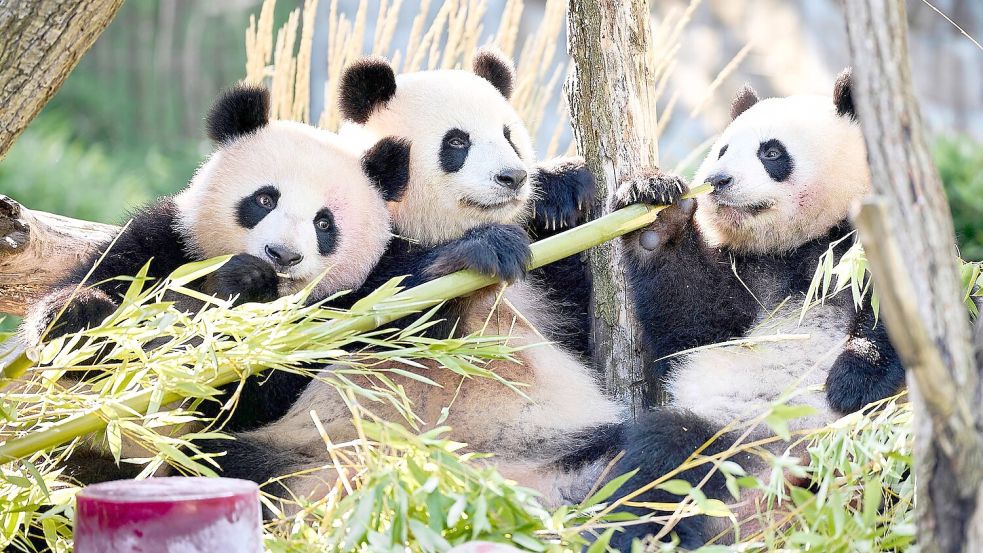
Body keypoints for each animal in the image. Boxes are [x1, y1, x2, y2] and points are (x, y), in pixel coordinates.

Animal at [20, 84, 410, 483]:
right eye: (265, 199)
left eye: (324, 223)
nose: (282, 255)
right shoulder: (166, 244)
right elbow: (100, 296)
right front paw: (78, 315)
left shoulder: (341, 315)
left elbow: (250, 393)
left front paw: (245, 290)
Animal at [197, 50, 623, 510]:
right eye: (457, 142)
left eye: (509, 136)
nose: (513, 177)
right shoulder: (359, 263)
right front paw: (483, 251)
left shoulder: (545, 287)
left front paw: (565, 191)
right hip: (302, 458)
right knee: (229, 460)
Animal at [593, 69, 908, 549]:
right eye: (723, 148)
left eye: (771, 152)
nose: (718, 179)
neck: (799, 244)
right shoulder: (749, 275)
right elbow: (696, 322)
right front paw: (657, 214)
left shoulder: (864, 242)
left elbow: (899, 318)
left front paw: (852, 380)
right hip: (728, 434)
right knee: (664, 460)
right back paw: (640, 535)